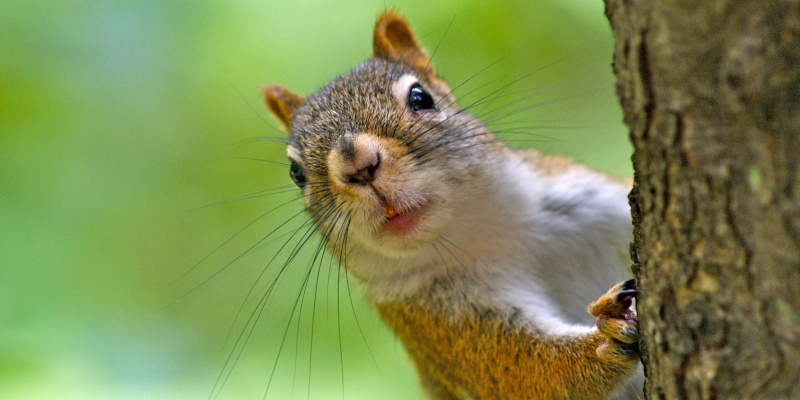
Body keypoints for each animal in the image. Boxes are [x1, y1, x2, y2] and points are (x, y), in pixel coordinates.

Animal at [260, 11, 643, 400]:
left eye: (420, 97)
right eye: (295, 172)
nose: (358, 165)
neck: (484, 234)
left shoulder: (589, 198)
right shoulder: (442, 324)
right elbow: (530, 372)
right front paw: (605, 336)